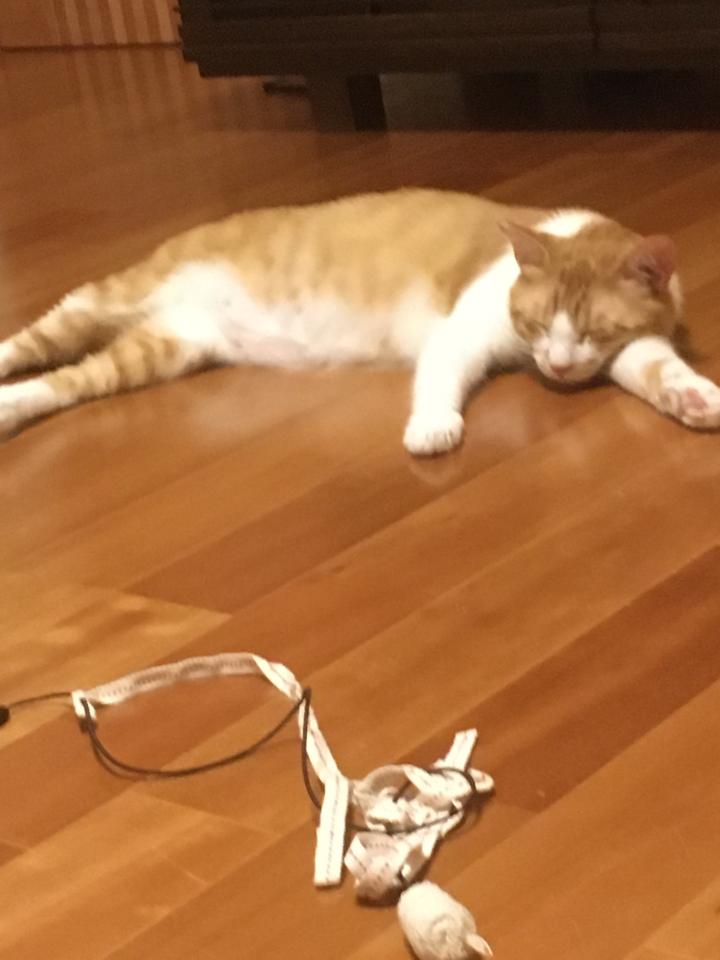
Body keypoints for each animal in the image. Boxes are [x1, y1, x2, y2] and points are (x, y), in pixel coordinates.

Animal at [1, 188, 718, 455]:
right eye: (537, 324)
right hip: (104, 301)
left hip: (162, 350)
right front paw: (432, 427)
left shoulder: (631, 349)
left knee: (61, 383)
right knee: (27, 343)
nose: (559, 367)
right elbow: (440, 379)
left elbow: (657, 370)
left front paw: (693, 398)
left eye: (593, 332)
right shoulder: (461, 332)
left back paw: (11, 408)